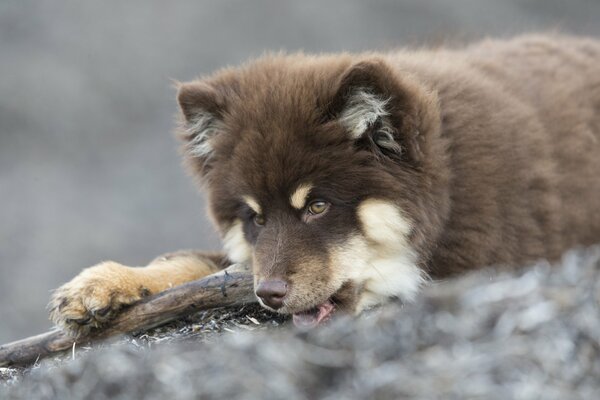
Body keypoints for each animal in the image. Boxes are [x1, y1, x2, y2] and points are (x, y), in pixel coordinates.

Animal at [48, 34, 600, 332]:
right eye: (255, 218)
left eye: (317, 206)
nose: (269, 294)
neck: (449, 182)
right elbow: (194, 264)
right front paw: (102, 283)